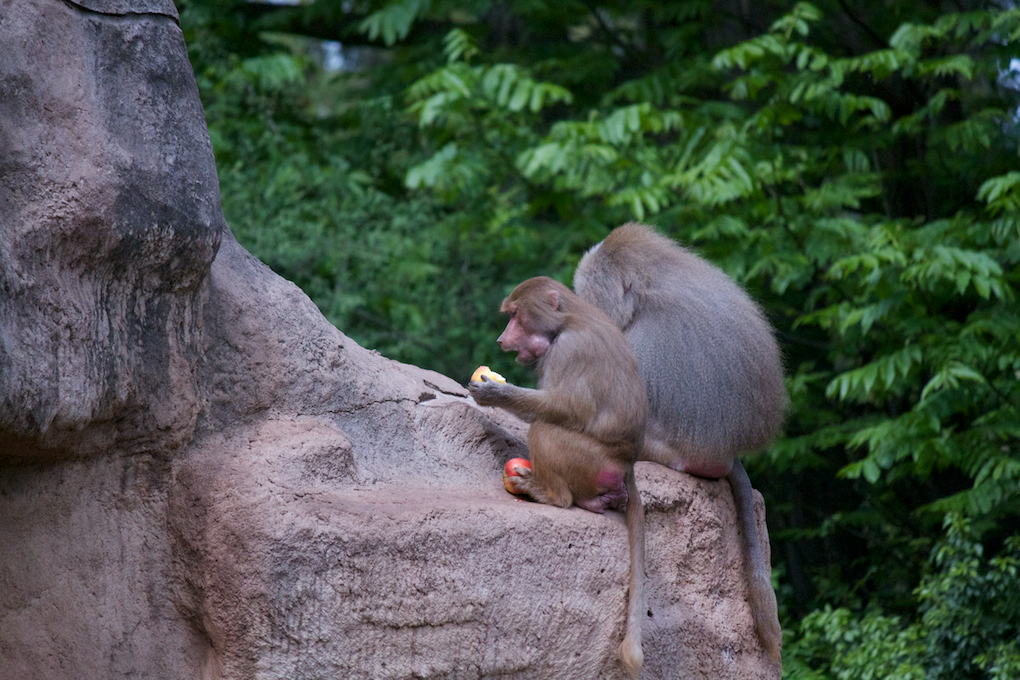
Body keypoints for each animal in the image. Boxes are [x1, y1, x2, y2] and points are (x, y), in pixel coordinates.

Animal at [468, 276, 649, 679]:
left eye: (516, 316)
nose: (501, 340)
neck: (567, 319)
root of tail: (627, 462)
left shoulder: (568, 351)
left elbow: (565, 409)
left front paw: (494, 391)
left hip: (590, 462)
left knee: (545, 430)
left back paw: (549, 494)